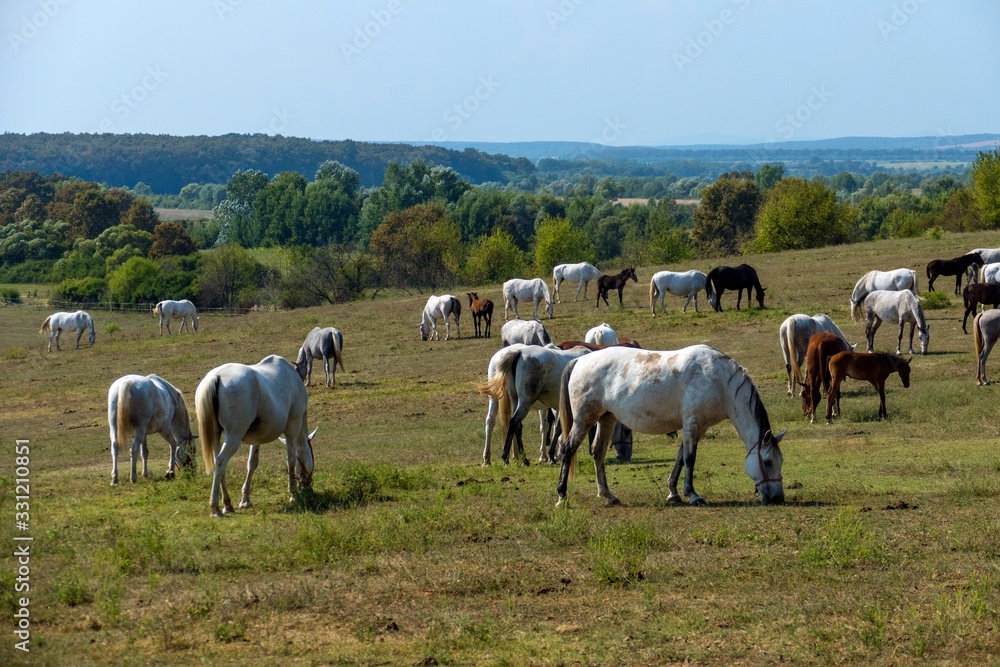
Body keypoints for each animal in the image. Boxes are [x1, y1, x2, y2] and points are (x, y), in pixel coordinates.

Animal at [195, 354, 316, 516]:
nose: (309, 490)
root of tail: (216, 377)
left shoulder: (256, 438)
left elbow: (252, 463)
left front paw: (245, 499)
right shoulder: (292, 429)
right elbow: (291, 461)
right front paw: (293, 494)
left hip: (215, 435)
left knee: (218, 464)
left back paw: (227, 504)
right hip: (233, 437)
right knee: (221, 461)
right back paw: (215, 508)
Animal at [560, 348, 784, 508]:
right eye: (767, 461)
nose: (778, 498)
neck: (719, 380)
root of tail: (580, 361)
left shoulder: (698, 427)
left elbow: (680, 458)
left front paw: (673, 493)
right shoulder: (692, 423)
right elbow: (689, 458)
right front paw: (693, 495)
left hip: (606, 419)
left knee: (598, 452)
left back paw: (608, 495)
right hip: (583, 419)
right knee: (567, 450)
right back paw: (562, 497)